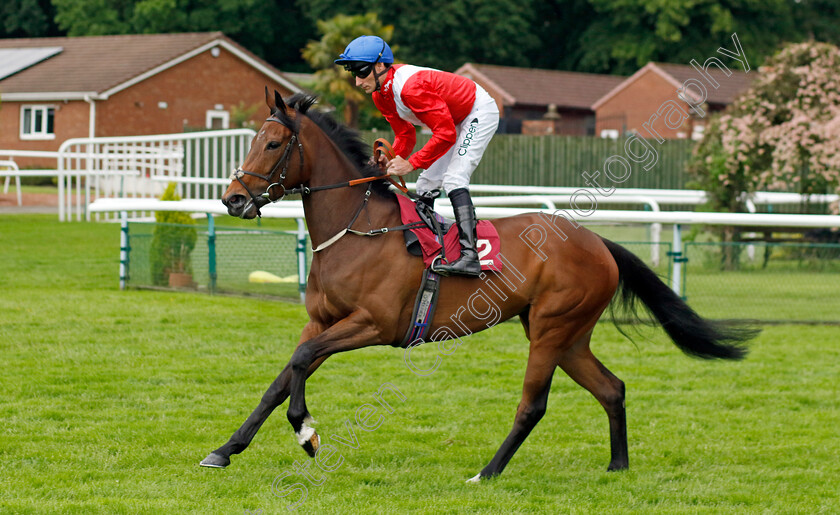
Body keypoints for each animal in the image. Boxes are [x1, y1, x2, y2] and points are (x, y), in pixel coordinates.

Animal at [203, 90, 756, 482]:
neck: (357, 229)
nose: (233, 199)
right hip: (568, 334)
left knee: (533, 405)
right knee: (611, 388)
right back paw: (617, 467)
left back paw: (487, 472)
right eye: (252, 140)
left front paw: (307, 433)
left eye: (273, 144)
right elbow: (281, 378)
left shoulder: (372, 324)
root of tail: (597, 241)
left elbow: (298, 364)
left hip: (552, 329)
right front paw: (225, 450)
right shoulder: (322, 320)